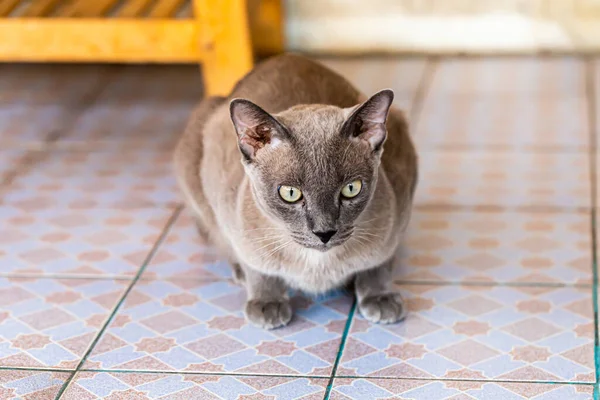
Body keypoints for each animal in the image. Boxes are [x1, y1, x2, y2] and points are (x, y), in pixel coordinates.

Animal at [173, 54, 418, 328]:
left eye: (351, 189)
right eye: (290, 193)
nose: (325, 233)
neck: (317, 267)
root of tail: (285, 57)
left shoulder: (399, 215)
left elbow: (379, 264)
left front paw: (380, 299)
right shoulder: (229, 212)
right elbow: (256, 267)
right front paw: (267, 304)